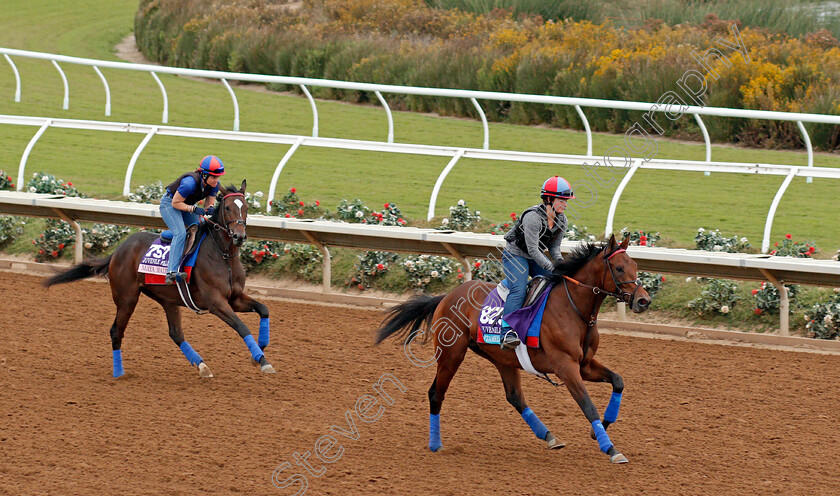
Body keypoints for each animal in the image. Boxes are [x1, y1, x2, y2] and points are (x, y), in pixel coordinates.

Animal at [42, 180, 276, 378]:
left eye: (246, 207)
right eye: (228, 208)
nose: (239, 236)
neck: (223, 256)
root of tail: (119, 251)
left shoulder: (234, 298)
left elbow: (264, 309)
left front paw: (259, 354)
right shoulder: (216, 302)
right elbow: (242, 327)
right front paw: (261, 360)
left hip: (167, 299)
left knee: (176, 334)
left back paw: (202, 366)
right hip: (127, 298)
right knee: (116, 331)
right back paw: (119, 373)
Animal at [376, 234, 648, 464]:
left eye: (635, 265)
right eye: (619, 268)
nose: (643, 300)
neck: (573, 309)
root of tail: (447, 297)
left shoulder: (585, 365)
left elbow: (618, 381)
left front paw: (602, 428)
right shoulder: (566, 367)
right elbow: (588, 405)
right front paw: (610, 448)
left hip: (502, 359)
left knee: (515, 397)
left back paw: (549, 436)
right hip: (450, 354)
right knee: (436, 393)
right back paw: (435, 444)